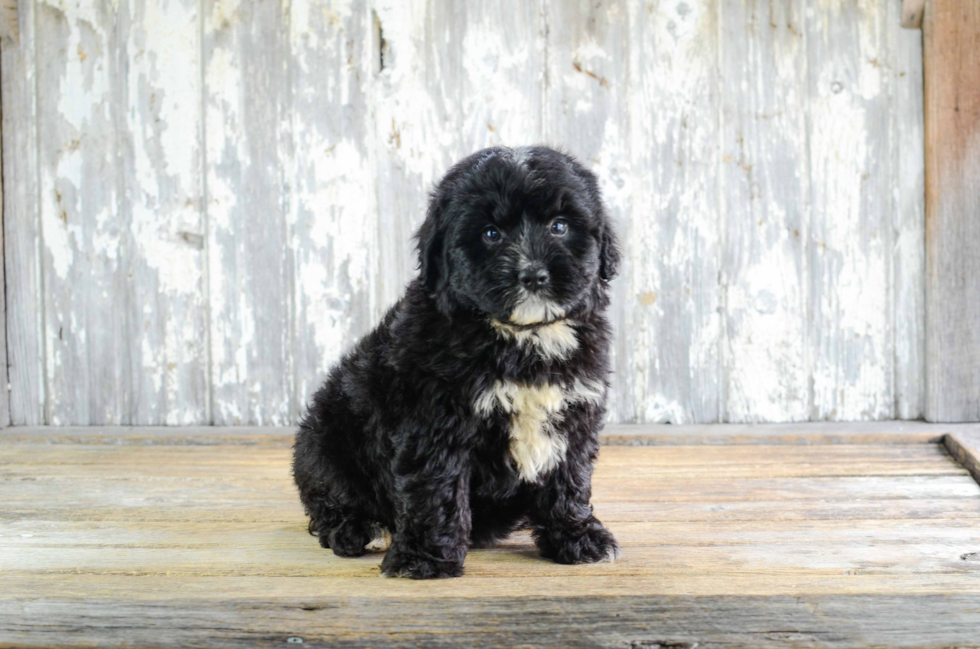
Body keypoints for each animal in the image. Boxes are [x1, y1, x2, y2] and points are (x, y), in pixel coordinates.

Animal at [290, 146, 620, 576]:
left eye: (559, 226)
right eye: (491, 234)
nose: (533, 274)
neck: (523, 337)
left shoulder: (574, 412)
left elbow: (569, 479)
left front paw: (578, 538)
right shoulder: (434, 418)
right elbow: (434, 485)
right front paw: (424, 558)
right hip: (325, 440)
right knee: (331, 494)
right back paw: (356, 528)